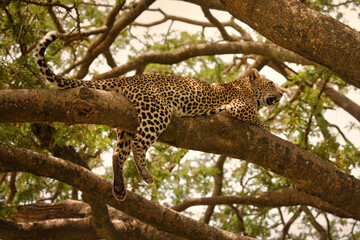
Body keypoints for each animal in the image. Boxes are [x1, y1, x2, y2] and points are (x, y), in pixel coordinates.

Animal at [33, 31, 282, 201]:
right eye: (271, 83)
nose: (281, 94)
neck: (246, 87)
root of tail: (129, 78)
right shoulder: (238, 106)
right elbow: (257, 118)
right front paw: (270, 128)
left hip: (125, 121)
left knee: (118, 153)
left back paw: (119, 188)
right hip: (156, 112)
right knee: (138, 144)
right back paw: (145, 174)